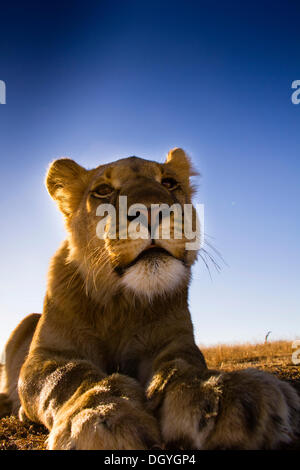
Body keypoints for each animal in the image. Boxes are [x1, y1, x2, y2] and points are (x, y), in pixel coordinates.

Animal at [0, 149, 298, 450]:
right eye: (103, 190)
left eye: (169, 183)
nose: (153, 210)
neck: (120, 303)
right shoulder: (45, 356)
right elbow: (69, 375)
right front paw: (101, 415)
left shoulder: (174, 342)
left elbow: (182, 365)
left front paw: (223, 395)